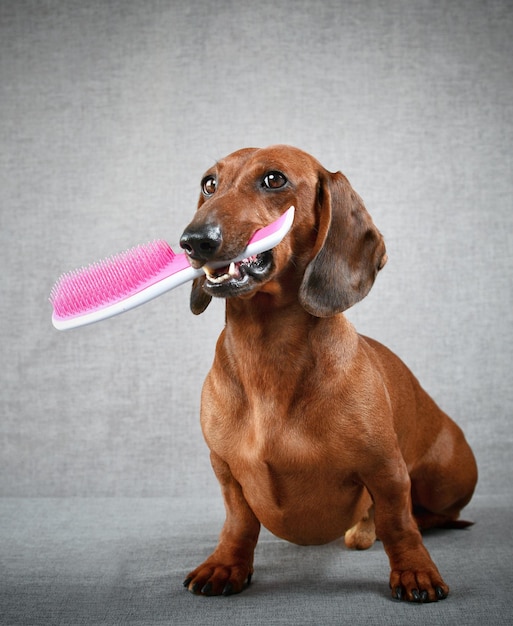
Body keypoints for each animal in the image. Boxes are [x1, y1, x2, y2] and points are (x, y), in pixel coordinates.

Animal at [179, 145, 476, 600]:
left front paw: (415, 570)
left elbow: (399, 523)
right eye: (209, 183)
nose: (193, 241)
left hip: (447, 479)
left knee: (435, 515)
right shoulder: (226, 470)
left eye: (274, 179)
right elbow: (239, 522)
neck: (267, 355)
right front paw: (226, 565)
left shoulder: (386, 469)